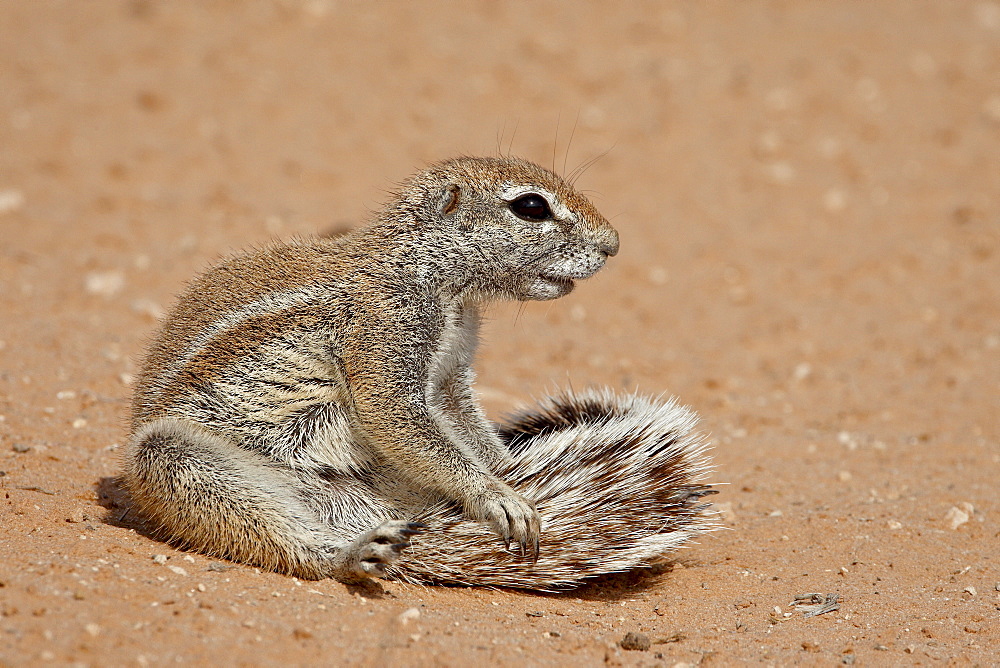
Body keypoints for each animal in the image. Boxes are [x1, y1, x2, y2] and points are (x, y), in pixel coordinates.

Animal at [123, 157, 720, 588]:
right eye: (531, 206)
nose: (613, 244)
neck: (435, 281)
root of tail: (367, 510)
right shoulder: (385, 331)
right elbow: (394, 415)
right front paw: (496, 495)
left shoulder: (452, 374)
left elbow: (466, 424)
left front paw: (509, 470)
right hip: (172, 458)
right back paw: (348, 555)